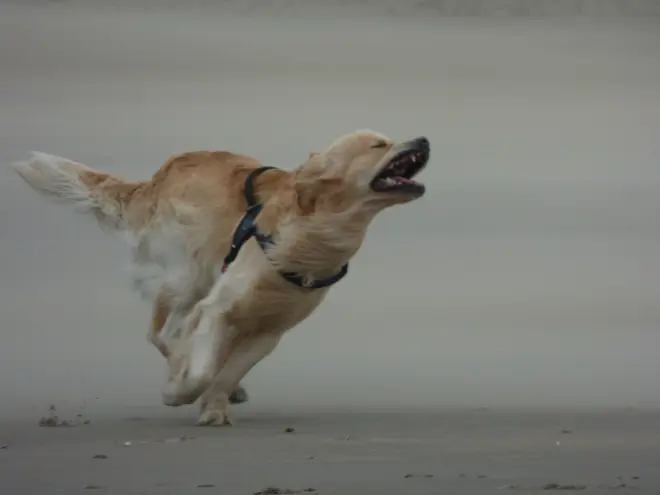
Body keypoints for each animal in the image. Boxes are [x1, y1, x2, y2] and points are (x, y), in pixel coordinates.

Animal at [12, 131, 430, 426]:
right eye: (379, 144)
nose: (424, 139)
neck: (313, 235)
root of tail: (163, 171)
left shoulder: (269, 331)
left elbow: (228, 371)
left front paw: (216, 405)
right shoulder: (221, 305)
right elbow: (200, 370)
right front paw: (179, 391)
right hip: (189, 276)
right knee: (162, 332)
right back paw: (180, 360)